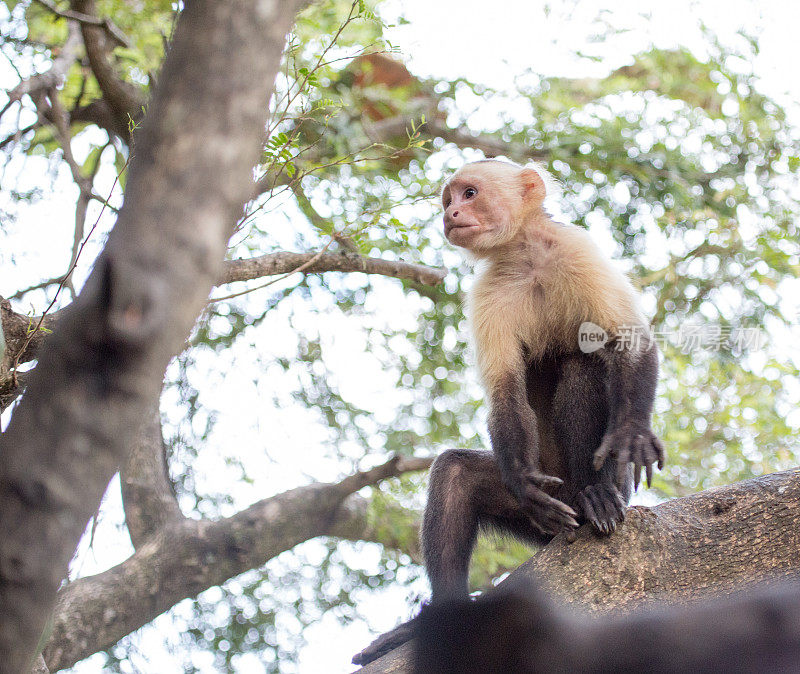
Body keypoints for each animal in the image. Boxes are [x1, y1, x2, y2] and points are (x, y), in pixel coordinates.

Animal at [354, 159, 664, 668]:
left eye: (470, 193)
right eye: (449, 200)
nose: (451, 214)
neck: (524, 254)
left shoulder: (577, 249)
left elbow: (629, 341)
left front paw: (632, 435)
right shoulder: (489, 291)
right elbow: (506, 392)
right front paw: (521, 483)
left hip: (601, 490)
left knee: (582, 365)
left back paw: (595, 494)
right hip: (545, 509)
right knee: (456, 475)